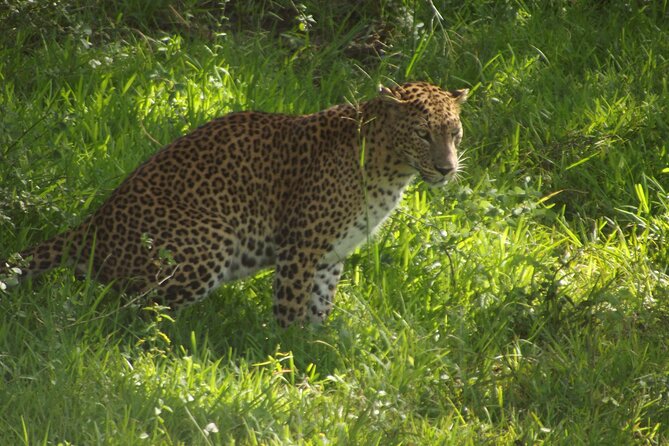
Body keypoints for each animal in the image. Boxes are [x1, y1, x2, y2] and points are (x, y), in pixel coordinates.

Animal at [1, 81, 468, 327]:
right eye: (423, 134)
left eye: (455, 133)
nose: (447, 169)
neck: (392, 169)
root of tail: (93, 222)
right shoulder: (301, 247)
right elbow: (292, 305)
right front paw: (287, 353)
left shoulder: (331, 253)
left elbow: (320, 304)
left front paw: (317, 346)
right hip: (212, 239)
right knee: (128, 308)